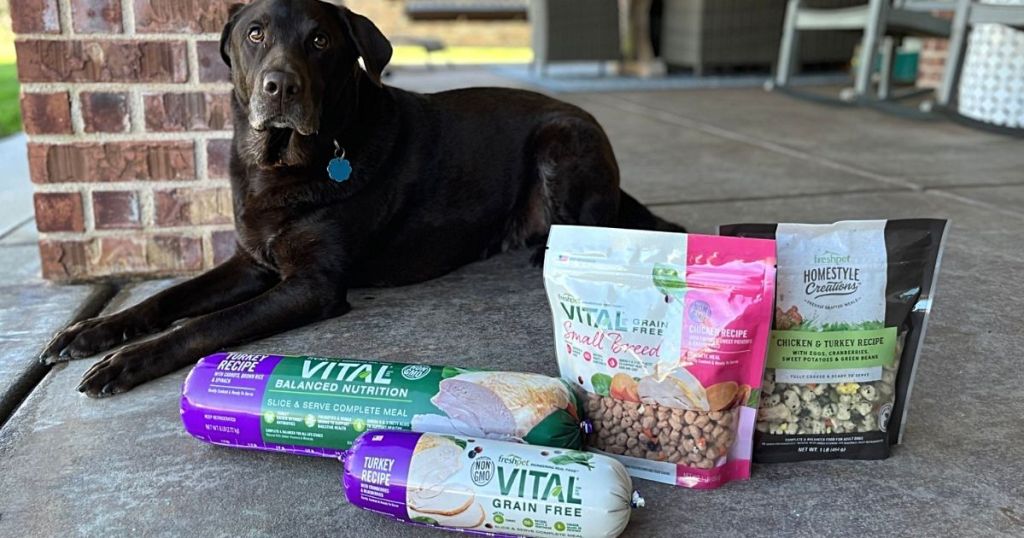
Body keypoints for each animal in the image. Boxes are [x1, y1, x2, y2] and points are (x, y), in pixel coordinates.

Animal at [39, 0, 684, 393]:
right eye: (255, 34)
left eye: (321, 40)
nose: (280, 86)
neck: (282, 167)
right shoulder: (251, 262)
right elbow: (165, 299)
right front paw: (91, 332)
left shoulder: (311, 283)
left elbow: (203, 325)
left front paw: (128, 361)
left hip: (562, 137)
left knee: (593, 225)